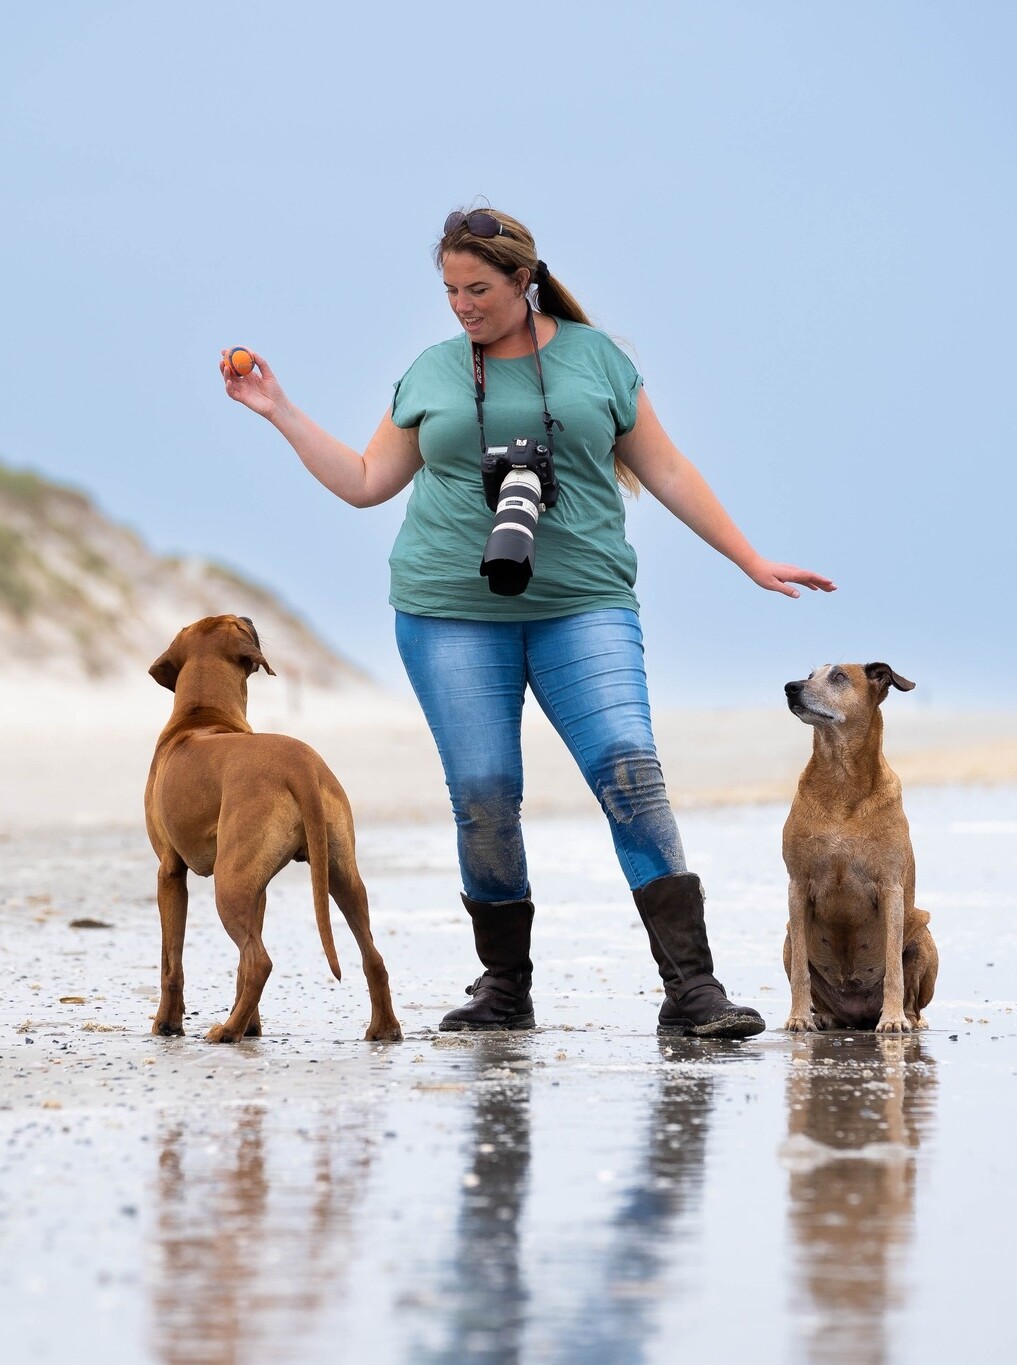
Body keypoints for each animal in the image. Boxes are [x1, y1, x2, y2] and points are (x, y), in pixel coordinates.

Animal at [144, 616, 401, 1042]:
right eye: (238, 622)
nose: (250, 618)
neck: (203, 716)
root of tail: (300, 765)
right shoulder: (258, 889)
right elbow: (235, 967)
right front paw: (253, 1025)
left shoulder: (169, 871)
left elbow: (170, 962)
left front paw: (167, 1023)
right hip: (339, 873)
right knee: (373, 956)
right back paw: (385, 1029)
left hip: (229, 885)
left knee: (259, 960)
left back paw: (226, 1030)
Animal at [786, 663, 933, 1031]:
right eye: (810, 674)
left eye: (839, 676)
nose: (791, 687)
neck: (841, 779)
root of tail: (857, 1014)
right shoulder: (797, 885)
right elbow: (800, 971)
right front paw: (798, 1017)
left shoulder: (890, 888)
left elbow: (894, 967)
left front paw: (893, 1019)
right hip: (787, 936)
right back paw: (823, 1015)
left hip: (923, 931)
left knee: (914, 997)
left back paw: (909, 1018)